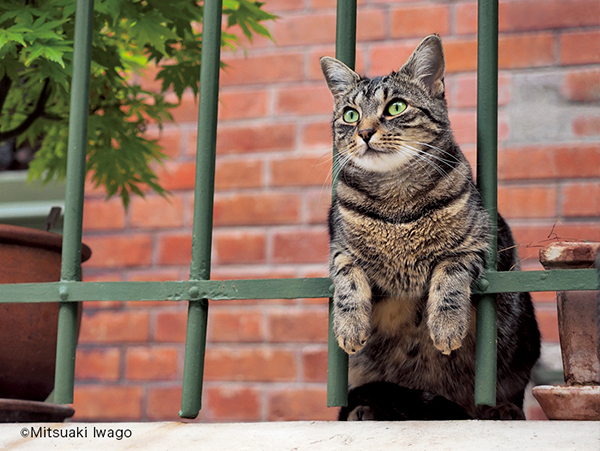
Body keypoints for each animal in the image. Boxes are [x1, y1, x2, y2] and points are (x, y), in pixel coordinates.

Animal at [322, 34, 540, 420]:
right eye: (350, 114)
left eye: (395, 107)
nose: (364, 132)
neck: (396, 201)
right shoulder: (339, 251)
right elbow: (348, 278)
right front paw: (349, 327)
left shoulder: (479, 247)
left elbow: (449, 274)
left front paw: (446, 327)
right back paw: (366, 410)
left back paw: (501, 410)